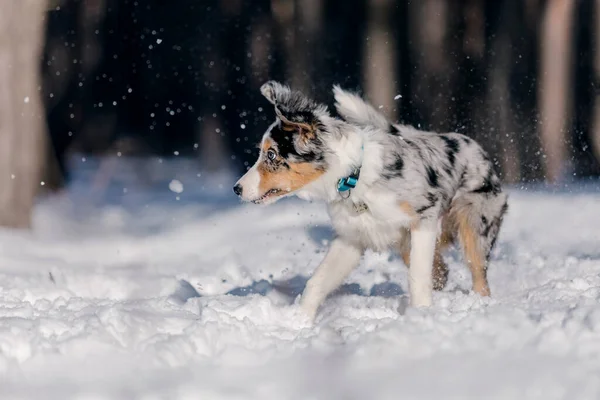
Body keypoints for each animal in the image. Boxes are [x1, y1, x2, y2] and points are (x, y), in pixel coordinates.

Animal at [233, 82, 506, 322]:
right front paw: (299, 322)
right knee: (442, 273)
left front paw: (421, 315)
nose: (237, 189)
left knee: (478, 275)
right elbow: (316, 282)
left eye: (271, 155)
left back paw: (480, 304)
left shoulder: (424, 218)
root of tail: (478, 149)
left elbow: (418, 277)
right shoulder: (351, 238)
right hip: (407, 241)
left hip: (474, 225)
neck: (355, 177)